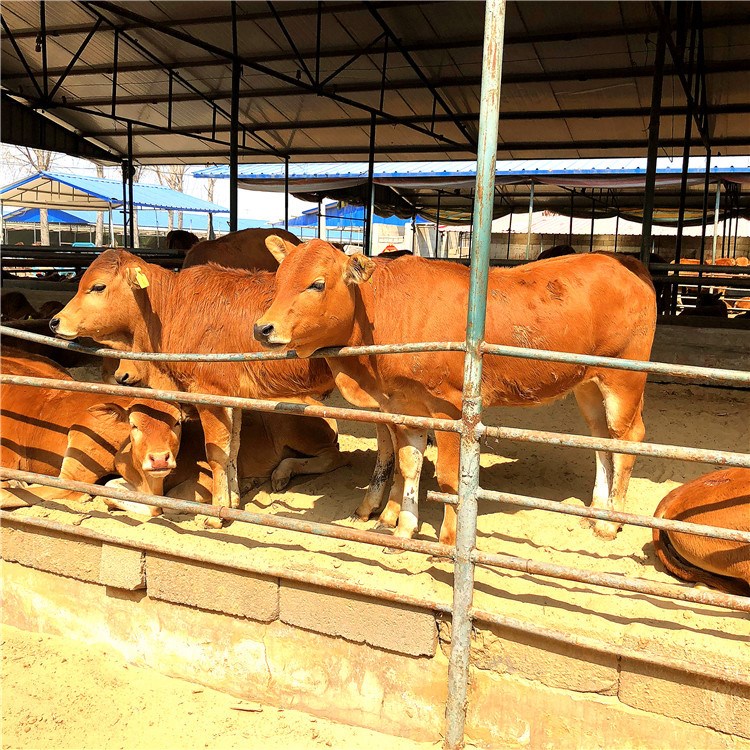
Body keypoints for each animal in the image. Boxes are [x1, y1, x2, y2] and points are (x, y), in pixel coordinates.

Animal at [51, 251, 346, 524]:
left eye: (98, 286)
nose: (55, 321)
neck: (171, 308)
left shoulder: (208, 393)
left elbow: (216, 453)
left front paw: (216, 514)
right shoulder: (231, 396)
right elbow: (232, 449)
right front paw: (233, 500)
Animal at [256, 238, 656, 544]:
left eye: (317, 284)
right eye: (279, 280)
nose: (262, 328)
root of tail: (623, 263)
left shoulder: (446, 407)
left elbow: (447, 477)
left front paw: (447, 539)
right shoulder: (405, 404)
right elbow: (409, 464)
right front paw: (403, 528)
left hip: (623, 378)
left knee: (628, 438)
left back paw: (610, 523)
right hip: (588, 384)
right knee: (600, 439)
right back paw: (598, 510)